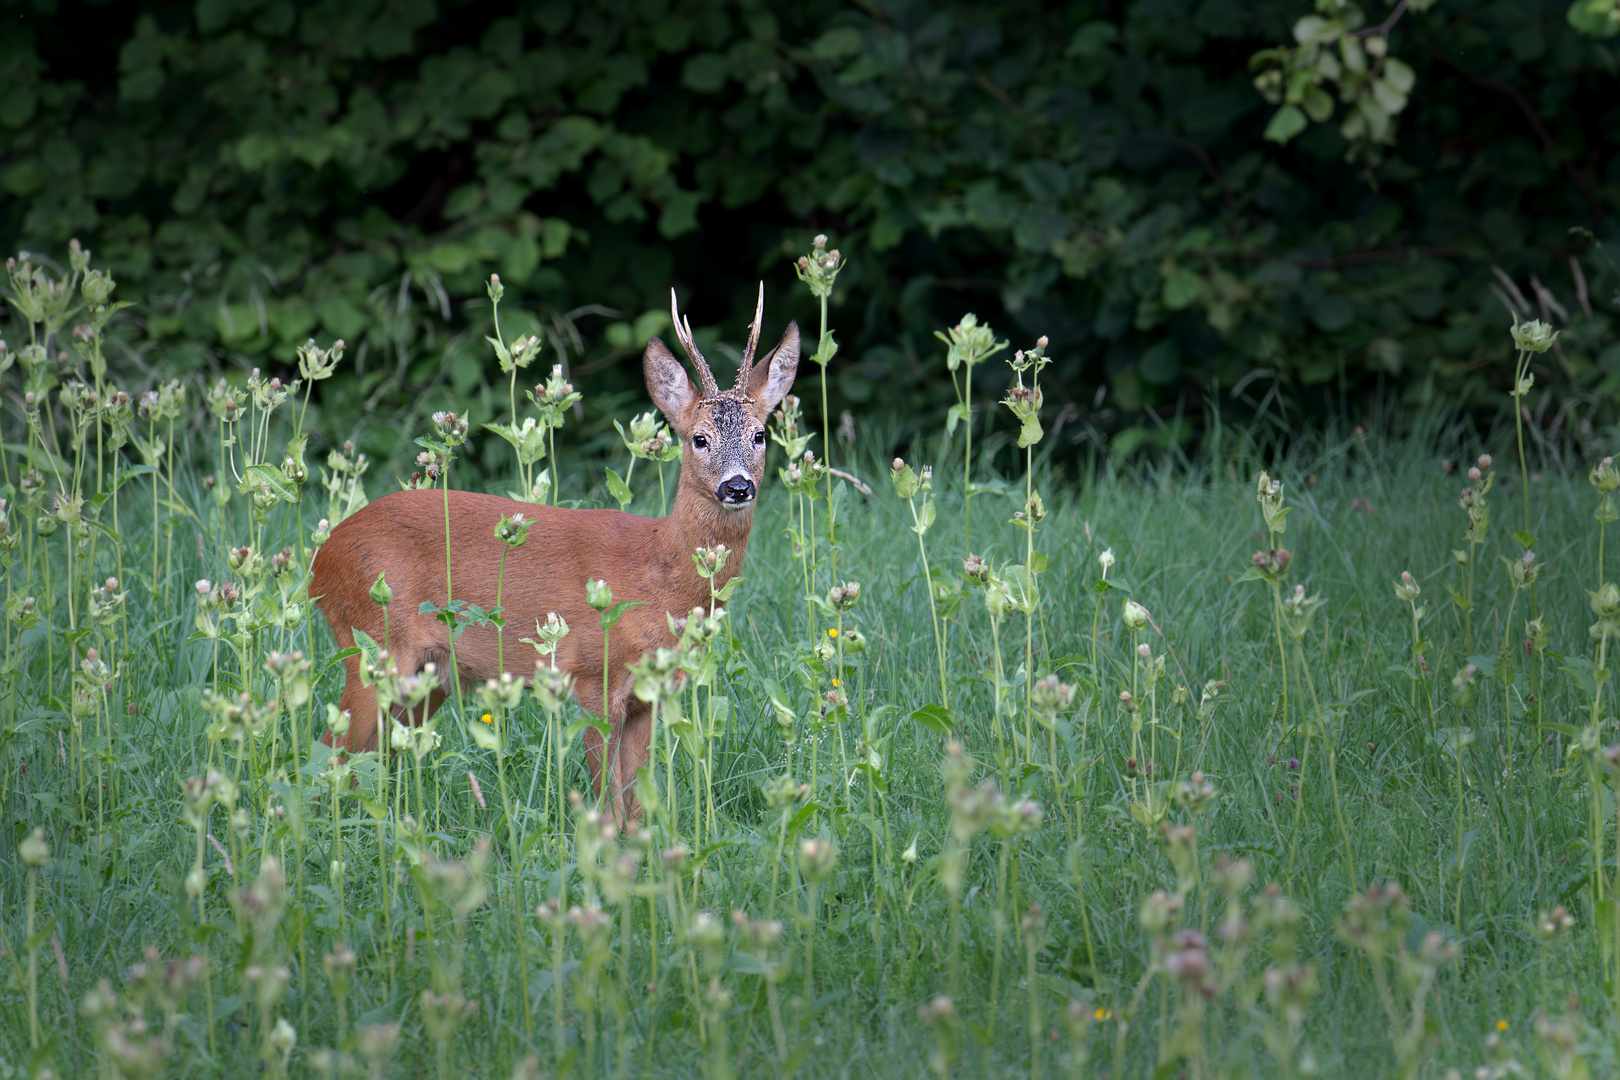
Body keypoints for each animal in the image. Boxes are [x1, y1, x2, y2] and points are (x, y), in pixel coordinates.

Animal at [309, 286, 797, 819]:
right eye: (699, 438)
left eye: (760, 434)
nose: (737, 486)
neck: (658, 574)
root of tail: (320, 559)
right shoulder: (591, 675)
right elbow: (608, 804)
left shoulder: (650, 694)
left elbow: (637, 806)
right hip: (372, 644)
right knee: (330, 757)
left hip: (429, 675)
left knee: (372, 758)